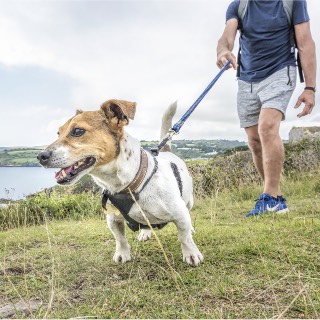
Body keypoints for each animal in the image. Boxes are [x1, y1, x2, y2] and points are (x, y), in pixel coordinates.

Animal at [37, 99, 202, 266]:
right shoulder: (112, 218)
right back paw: (145, 232)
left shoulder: (179, 214)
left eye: (77, 131)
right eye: (58, 133)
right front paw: (123, 254)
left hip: (189, 201)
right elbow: (120, 238)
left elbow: (184, 237)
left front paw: (191, 254)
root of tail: (166, 151)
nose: (40, 156)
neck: (129, 184)